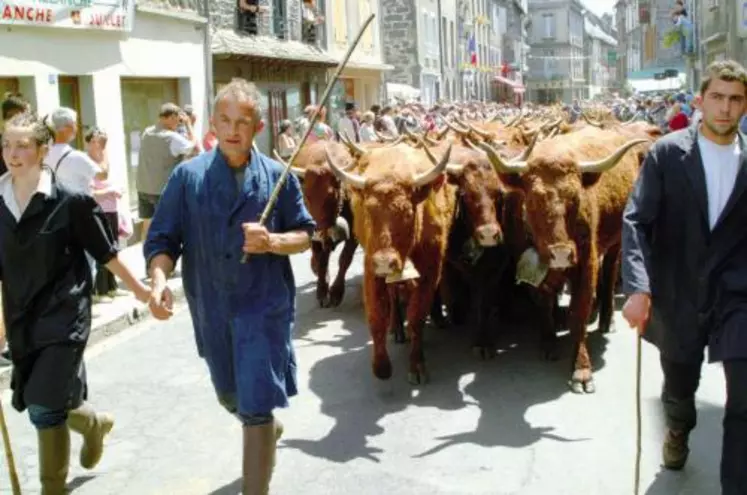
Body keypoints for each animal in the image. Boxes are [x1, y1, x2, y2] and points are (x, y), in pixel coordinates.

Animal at [326, 143, 456, 384]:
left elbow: (416, 316)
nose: (384, 262)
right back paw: (396, 328)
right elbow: (377, 316)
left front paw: (417, 364)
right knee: (394, 295)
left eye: (407, 212)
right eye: (368, 211)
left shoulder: (431, 270)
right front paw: (381, 366)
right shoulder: (370, 268)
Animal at [482, 132, 652, 396]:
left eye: (575, 198)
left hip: (617, 241)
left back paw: (607, 321)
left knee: (610, 271)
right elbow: (543, 304)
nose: (560, 254)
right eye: (533, 200)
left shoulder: (586, 265)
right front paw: (549, 342)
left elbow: (578, 314)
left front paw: (581, 370)